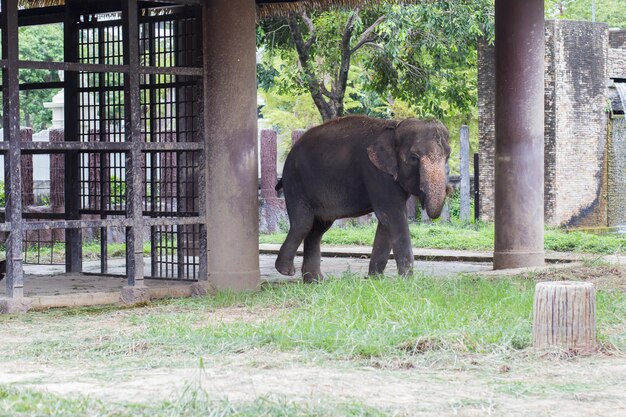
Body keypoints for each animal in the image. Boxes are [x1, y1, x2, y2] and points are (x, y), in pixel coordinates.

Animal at [274, 115, 448, 282]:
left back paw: (315, 281)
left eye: (447, 157)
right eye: (414, 158)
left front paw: (376, 279)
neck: (394, 127)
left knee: (318, 229)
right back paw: (286, 271)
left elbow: (386, 222)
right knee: (303, 223)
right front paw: (407, 280)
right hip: (296, 181)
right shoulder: (375, 172)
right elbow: (393, 216)